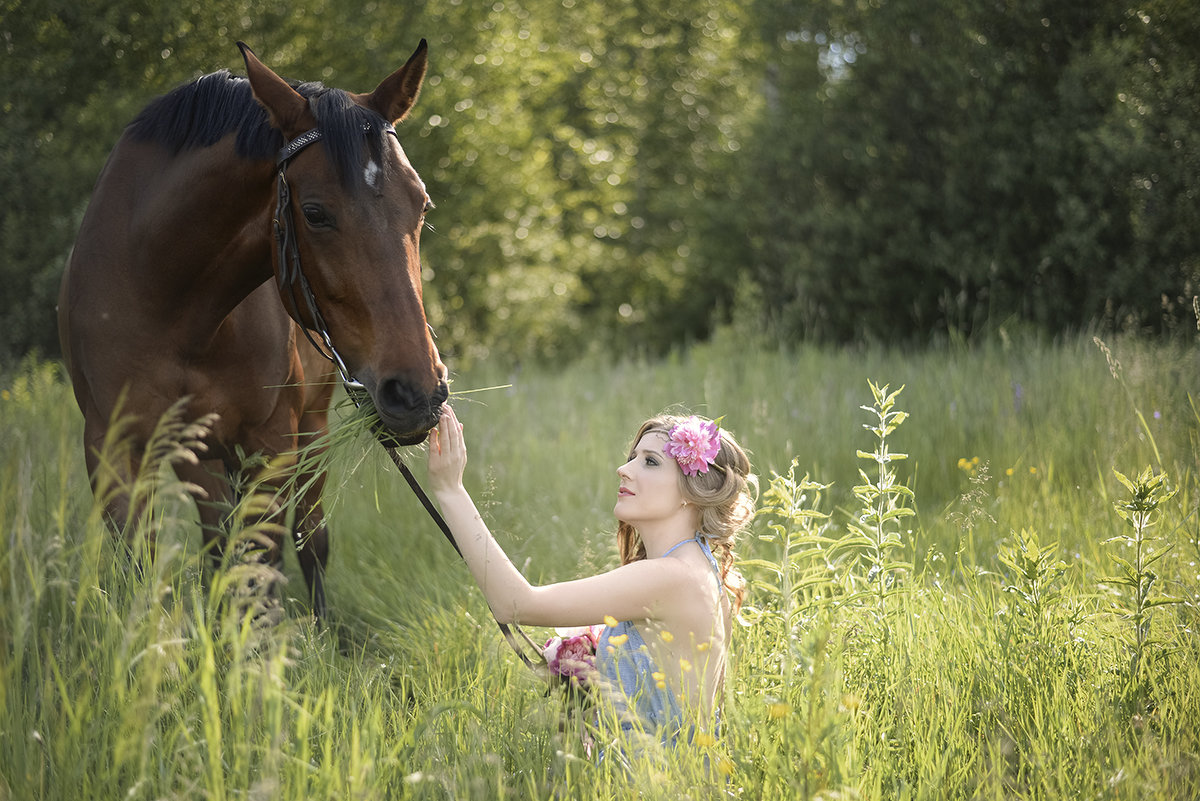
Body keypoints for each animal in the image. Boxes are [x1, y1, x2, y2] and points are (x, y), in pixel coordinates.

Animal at [57, 40, 451, 618]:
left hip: (310, 429)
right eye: (315, 213)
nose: (418, 392)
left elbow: (261, 572)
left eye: (420, 204)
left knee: (310, 539)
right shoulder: (112, 451)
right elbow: (149, 574)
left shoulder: (272, 445)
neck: (170, 302)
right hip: (202, 453)